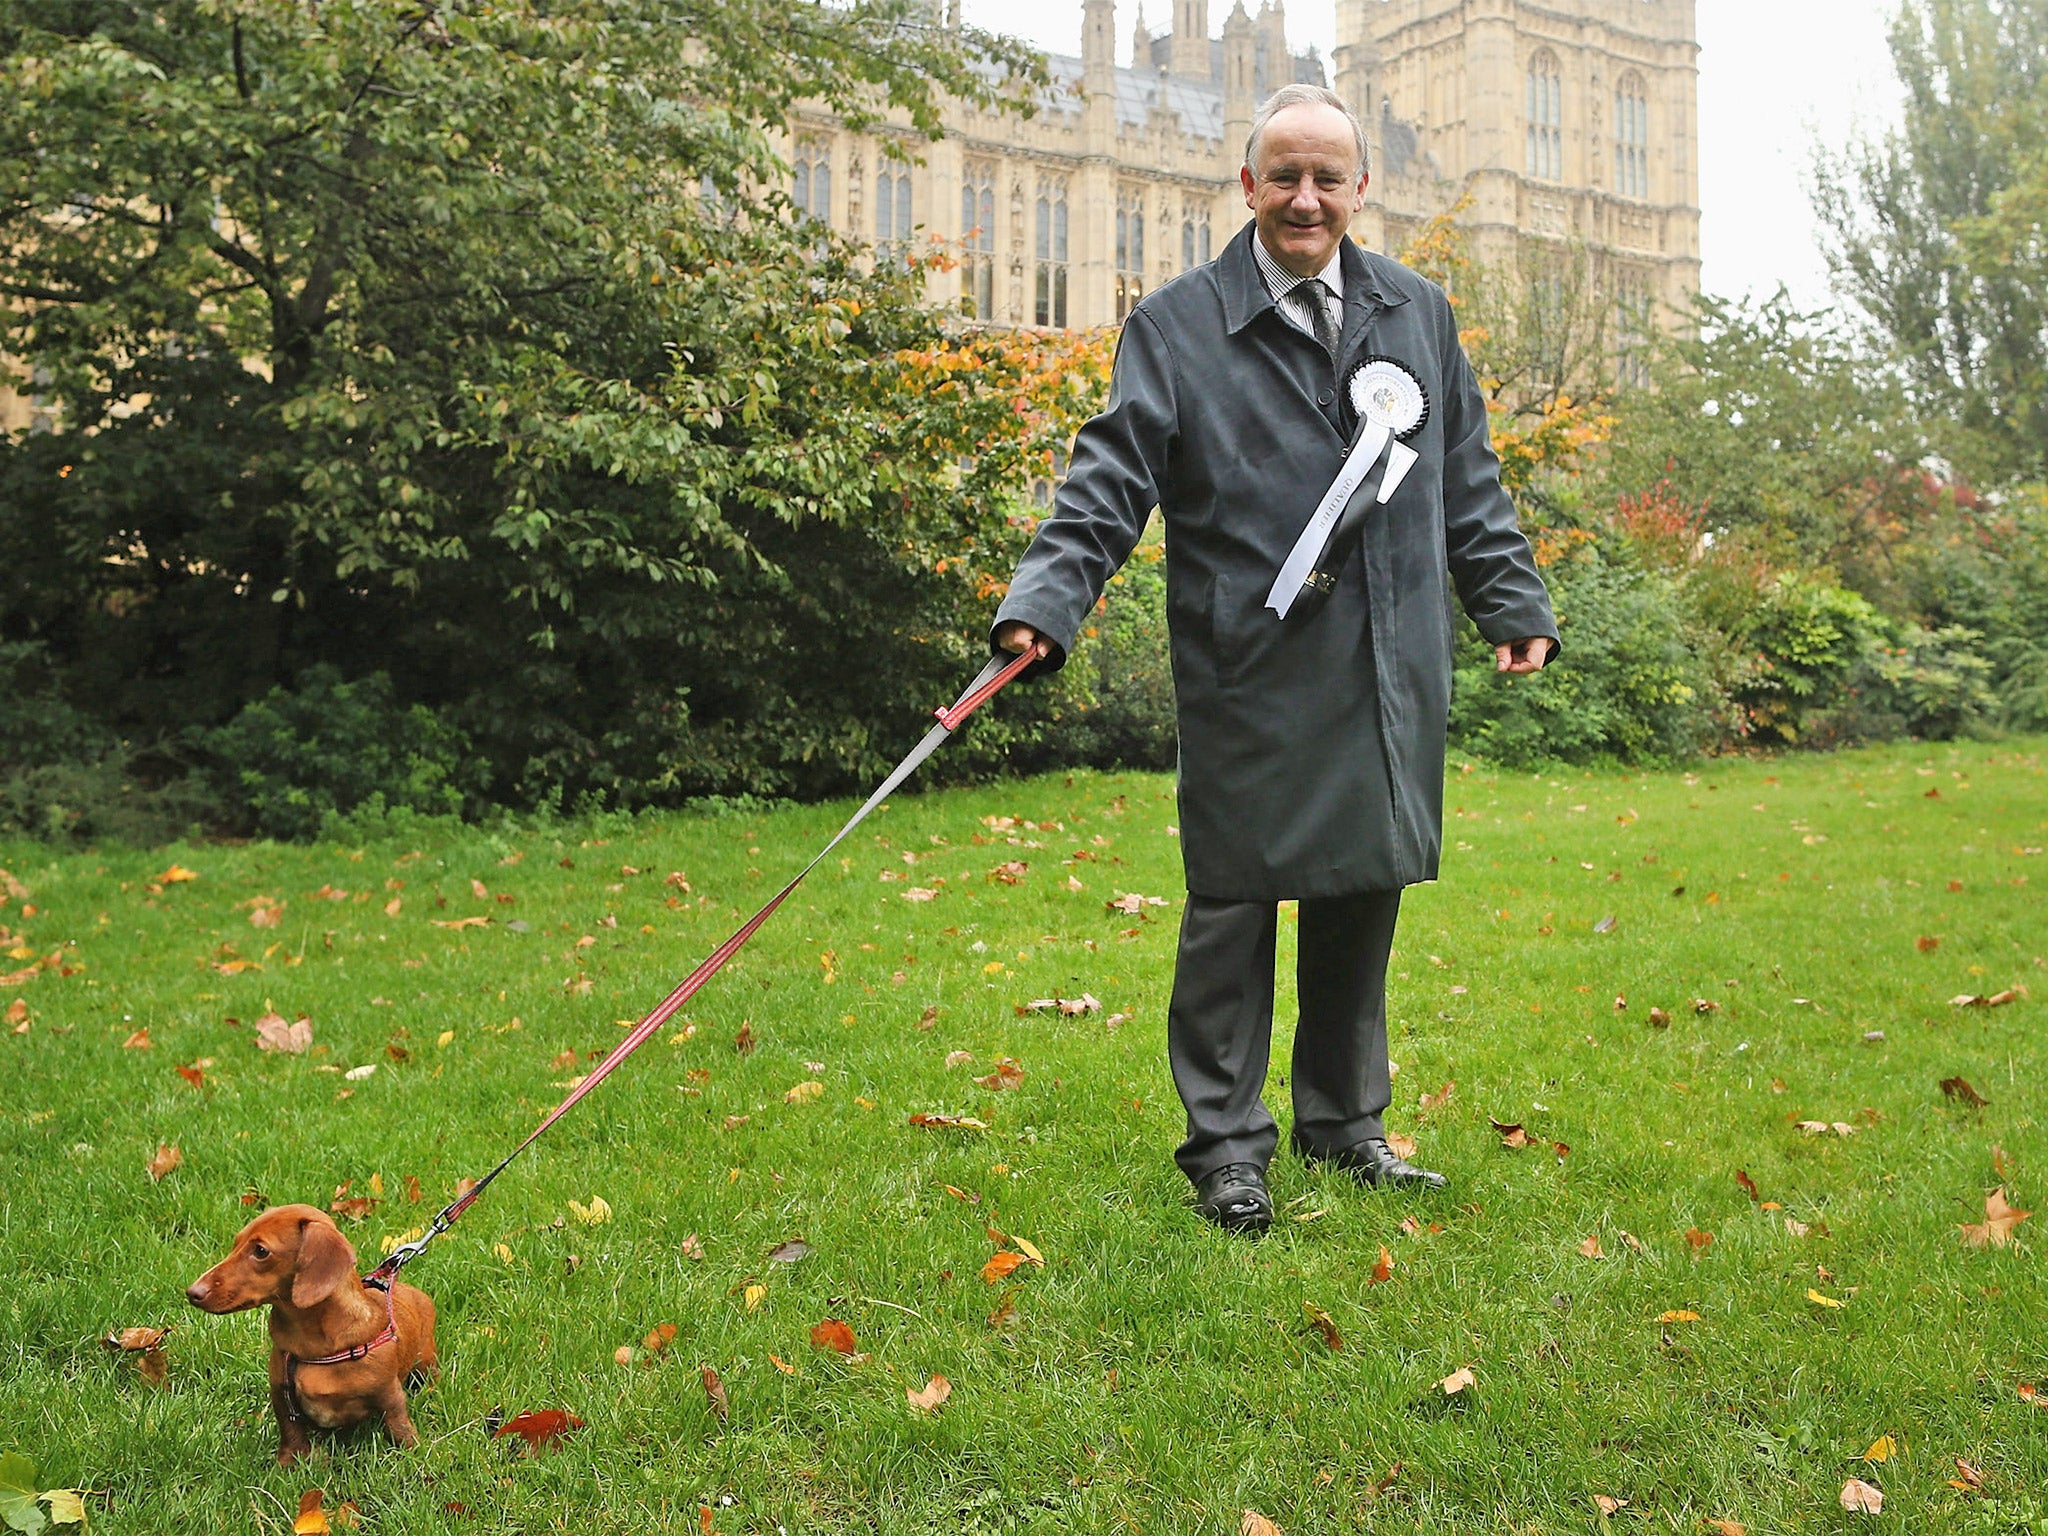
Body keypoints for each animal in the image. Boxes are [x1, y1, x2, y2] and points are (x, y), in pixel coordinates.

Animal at [188, 1204, 436, 1466]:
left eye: (261, 1251)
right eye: (236, 1242)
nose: (192, 1292)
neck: (315, 1346)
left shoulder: (390, 1396)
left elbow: (399, 1427)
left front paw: (415, 1455)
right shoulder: (281, 1395)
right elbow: (291, 1432)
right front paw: (287, 1465)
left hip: (425, 1359)